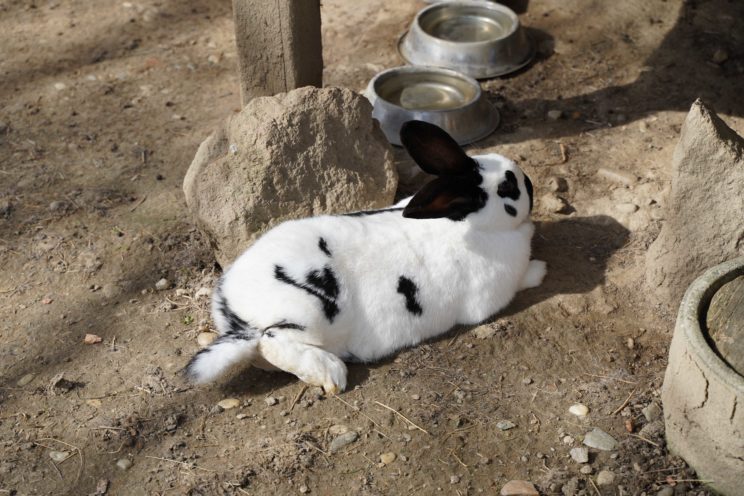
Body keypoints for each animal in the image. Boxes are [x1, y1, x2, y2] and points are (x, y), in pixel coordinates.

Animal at [186, 119, 548, 392]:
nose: (531, 182)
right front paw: (540, 269)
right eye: (509, 189)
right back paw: (331, 373)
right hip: (306, 314)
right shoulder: (490, 296)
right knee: (273, 341)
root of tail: (237, 319)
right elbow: (523, 280)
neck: (466, 222)